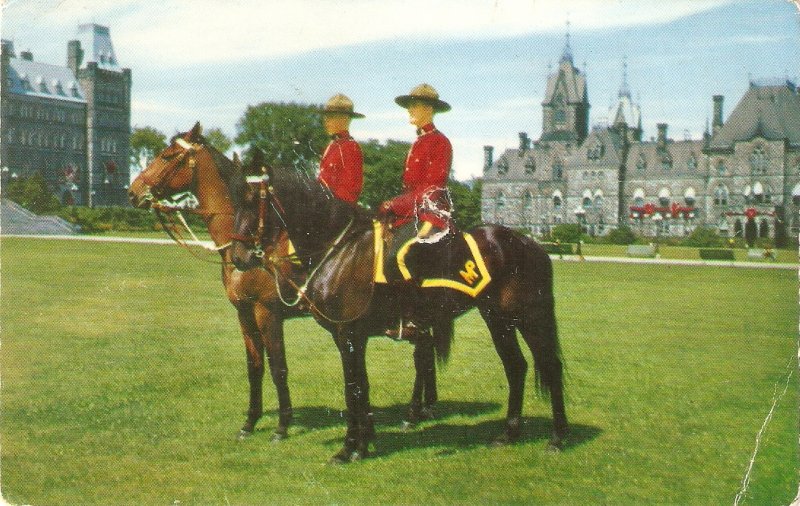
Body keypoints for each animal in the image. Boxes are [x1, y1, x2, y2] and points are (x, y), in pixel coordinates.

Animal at [127, 123, 438, 442]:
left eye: (167, 156)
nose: (133, 191)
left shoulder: (268, 313)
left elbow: (278, 368)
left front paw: (282, 425)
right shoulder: (244, 314)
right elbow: (255, 367)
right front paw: (250, 422)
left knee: (422, 354)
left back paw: (413, 413)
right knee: (425, 352)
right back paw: (421, 410)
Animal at [228, 162, 568, 462]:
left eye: (252, 203)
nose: (238, 258)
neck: (340, 250)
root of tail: (530, 243)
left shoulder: (347, 333)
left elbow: (352, 388)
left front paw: (348, 450)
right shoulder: (351, 336)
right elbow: (361, 386)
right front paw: (363, 444)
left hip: (528, 316)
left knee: (550, 366)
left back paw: (557, 438)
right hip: (498, 318)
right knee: (516, 367)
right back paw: (508, 433)